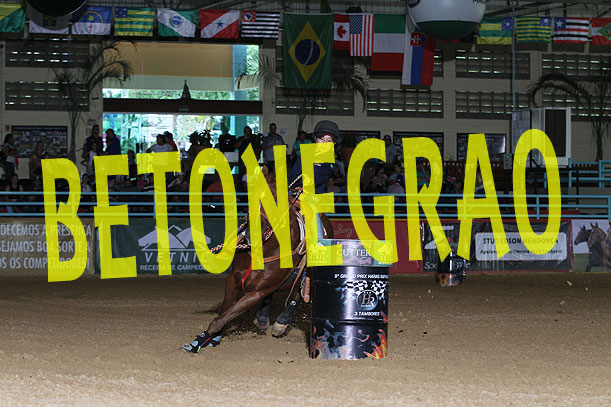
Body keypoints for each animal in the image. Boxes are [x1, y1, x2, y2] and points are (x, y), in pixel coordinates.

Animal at [181, 172, 334, 353]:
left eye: (276, 201)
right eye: (251, 196)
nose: (251, 232)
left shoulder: (256, 293)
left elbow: (221, 318)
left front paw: (199, 342)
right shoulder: (233, 280)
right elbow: (224, 312)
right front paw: (209, 339)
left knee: (297, 296)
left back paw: (281, 323)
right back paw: (262, 319)